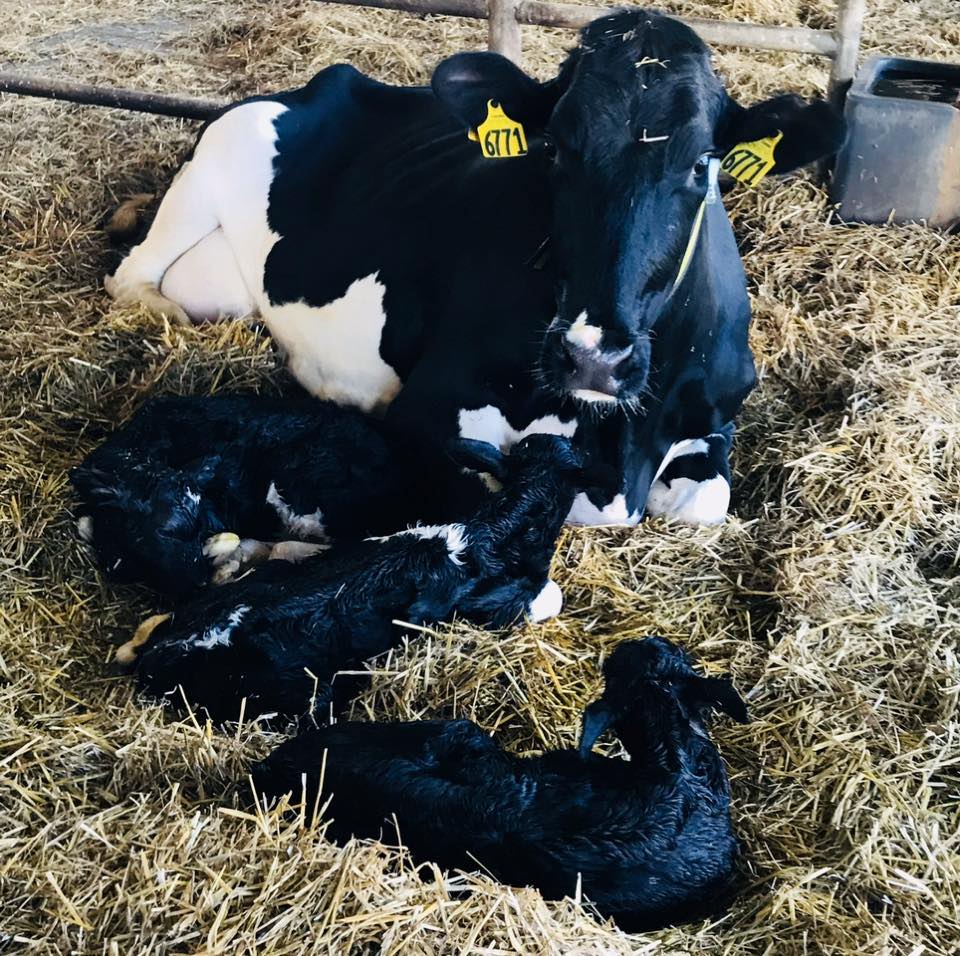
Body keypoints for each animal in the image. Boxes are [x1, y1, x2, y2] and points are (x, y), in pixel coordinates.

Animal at [105, 9, 845, 526]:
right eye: (554, 149)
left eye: (701, 165)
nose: (593, 357)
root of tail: (324, 82)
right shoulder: (427, 408)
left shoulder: (716, 413)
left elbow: (701, 501)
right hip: (208, 173)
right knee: (132, 276)